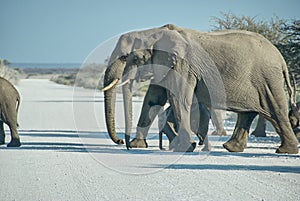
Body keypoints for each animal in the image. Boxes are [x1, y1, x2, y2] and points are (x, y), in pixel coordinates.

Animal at [102, 24, 298, 154]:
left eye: (128, 57)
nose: (123, 142)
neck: (153, 32)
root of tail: (281, 59)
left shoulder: (182, 65)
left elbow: (178, 98)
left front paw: (186, 148)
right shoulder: (164, 64)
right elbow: (153, 98)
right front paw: (138, 146)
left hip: (267, 79)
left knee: (275, 109)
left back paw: (286, 151)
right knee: (248, 113)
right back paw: (231, 148)